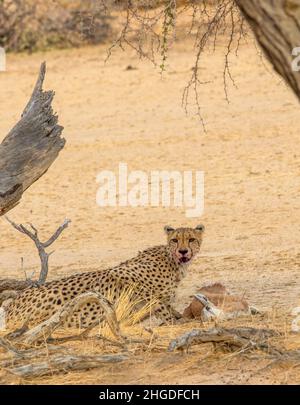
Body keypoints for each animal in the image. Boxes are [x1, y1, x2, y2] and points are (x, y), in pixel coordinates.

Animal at [0, 224, 204, 328]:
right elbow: (157, 303)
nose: (183, 251)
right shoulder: (122, 275)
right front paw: (173, 320)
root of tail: (13, 304)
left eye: (191, 239)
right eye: (175, 240)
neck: (174, 262)